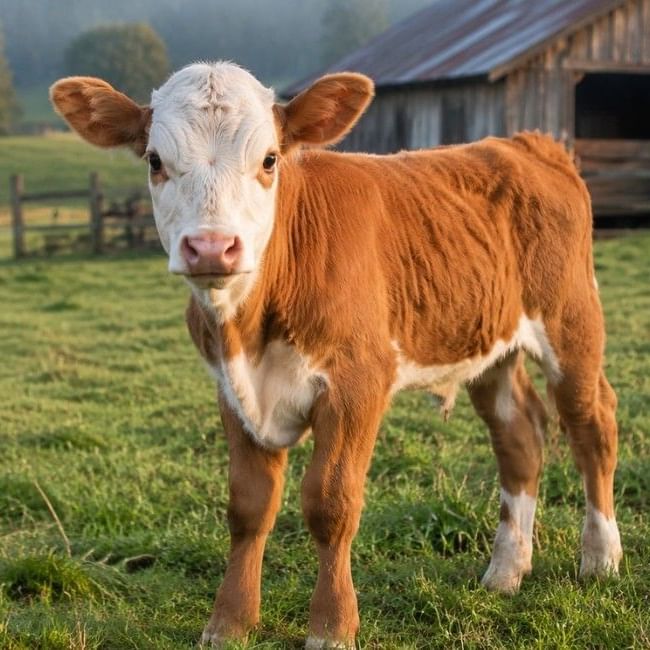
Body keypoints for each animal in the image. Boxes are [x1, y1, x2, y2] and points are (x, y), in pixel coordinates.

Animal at [50, 62, 622, 649]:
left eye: (269, 159)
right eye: (155, 160)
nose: (212, 247)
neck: (249, 328)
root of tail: (525, 143)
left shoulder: (356, 383)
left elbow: (331, 501)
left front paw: (332, 625)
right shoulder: (232, 389)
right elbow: (248, 504)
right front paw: (229, 621)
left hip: (572, 322)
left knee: (592, 424)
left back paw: (600, 558)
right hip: (490, 347)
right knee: (519, 438)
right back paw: (506, 571)